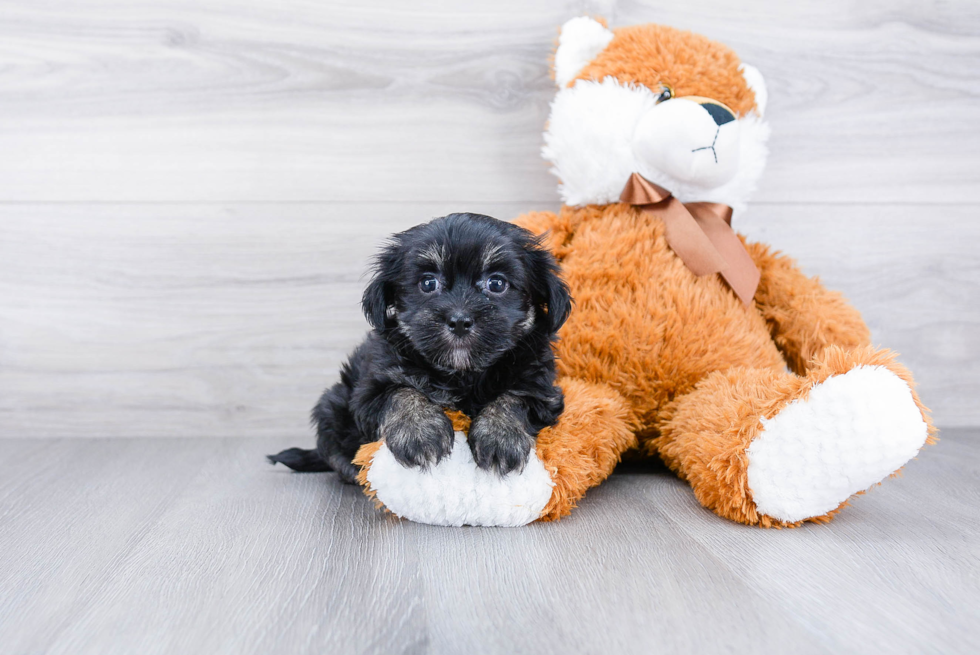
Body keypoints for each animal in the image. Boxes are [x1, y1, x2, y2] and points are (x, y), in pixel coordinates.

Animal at [268, 214, 576, 482]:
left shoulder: (540, 388)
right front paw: (419, 432)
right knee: (331, 446)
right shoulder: (371, 388)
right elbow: (402, 392)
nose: (460, 320)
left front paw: (500, 437)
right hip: (333, 402)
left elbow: (513, 397)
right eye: (428, 283)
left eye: (497, 283)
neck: (463, 373)